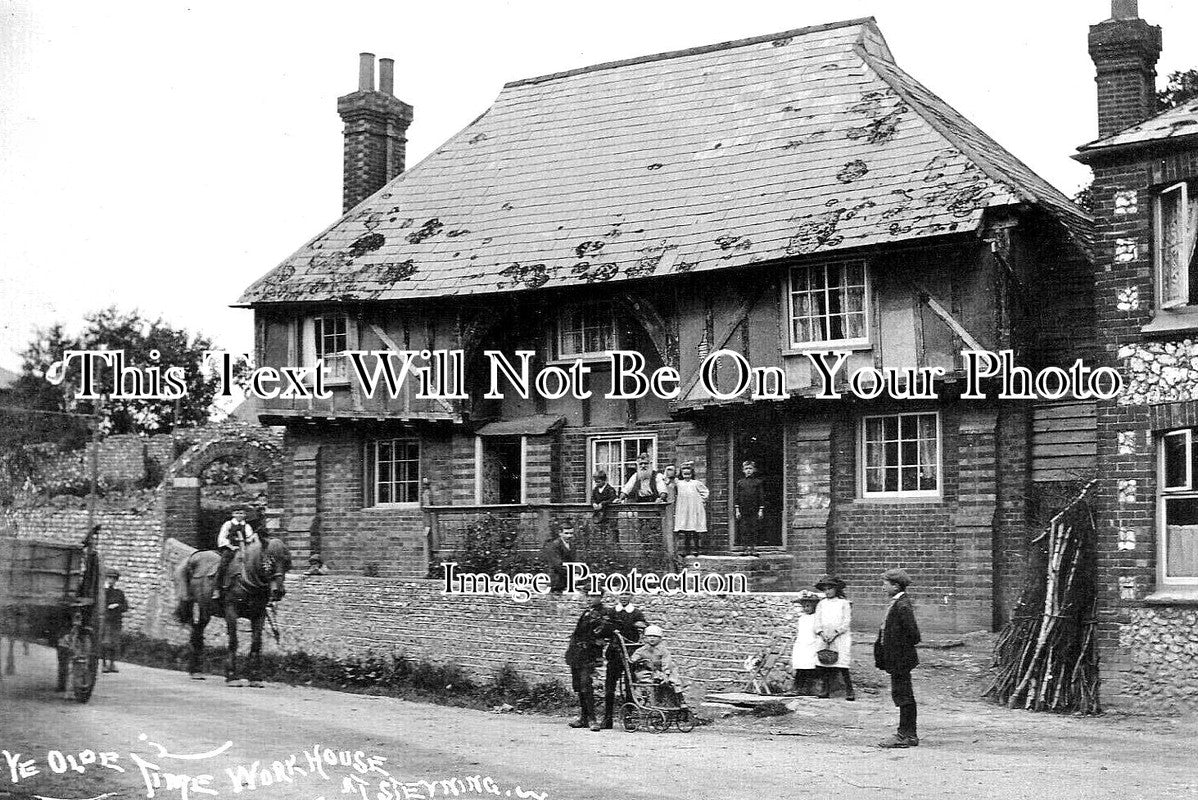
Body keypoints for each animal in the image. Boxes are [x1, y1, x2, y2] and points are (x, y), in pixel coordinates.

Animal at [173, 534, 289, 685]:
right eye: (270, 560)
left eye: (286, 561)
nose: (279, 591)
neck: (247, 578)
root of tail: (190, 558)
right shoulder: (231, 612)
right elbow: (233, 641)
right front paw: (232, 675)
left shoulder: (259, 614)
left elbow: (256, 643)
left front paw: (254, 678)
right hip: (191, 603)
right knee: (196, 632)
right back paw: (195, 670)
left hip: (206, 610)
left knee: (197, 632)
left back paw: (196, 670)